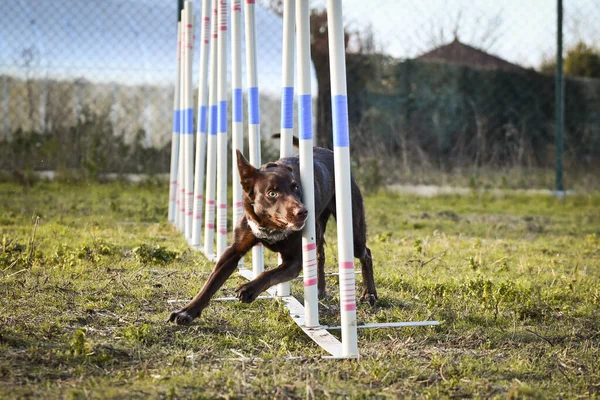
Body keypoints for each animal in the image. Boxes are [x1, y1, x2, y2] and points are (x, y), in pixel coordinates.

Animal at [168, 145, 376, 324]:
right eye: (272, 193)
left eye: (296, 187)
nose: (303, 212)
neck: (270, 226)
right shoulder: (233, 252)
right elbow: (210, 284)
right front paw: (187, 311)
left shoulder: (294, 261)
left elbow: (269, 273)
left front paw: (248, 289)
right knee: (320, 255)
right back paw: (319, 289)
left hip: (352, 230)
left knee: (365, 253)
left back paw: (370, 294)